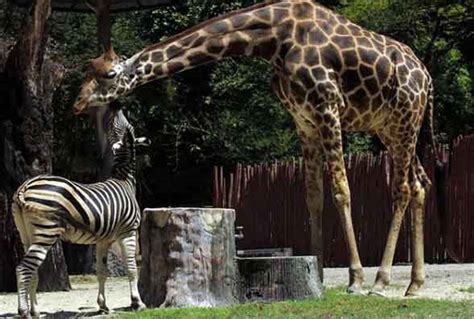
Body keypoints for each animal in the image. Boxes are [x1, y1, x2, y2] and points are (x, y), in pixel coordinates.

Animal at [72, 0, 438, 298]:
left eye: (109, 74)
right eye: (86, 71)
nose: (77, 103)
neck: (274, 39)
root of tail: (427, 77)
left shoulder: (328, 109)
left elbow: (341, 191)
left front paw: (356, 279)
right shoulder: (304, 119)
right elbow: (314, 196)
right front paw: (317, 272)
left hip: (404, 120)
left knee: (403, 188)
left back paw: (381, 281)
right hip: (391, 127)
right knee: (420, 184)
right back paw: (414, 284)